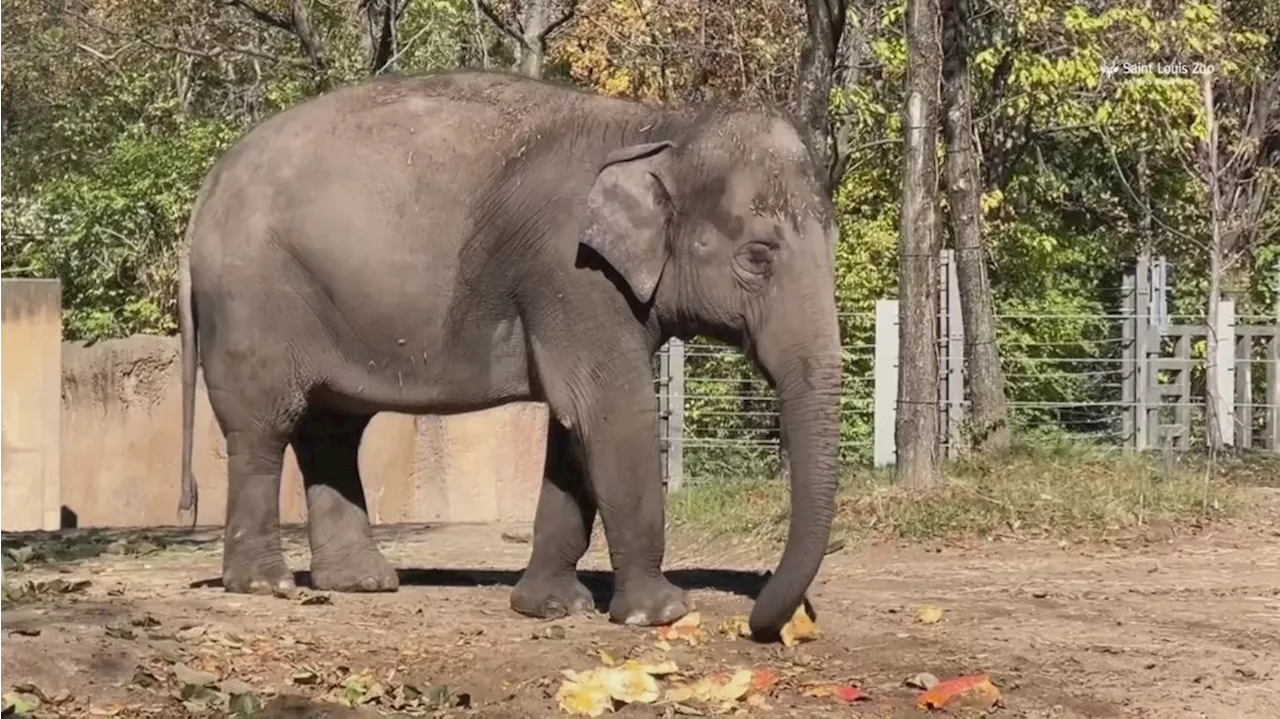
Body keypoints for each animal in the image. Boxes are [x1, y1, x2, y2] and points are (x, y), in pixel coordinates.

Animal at [175, 68, 844, 637]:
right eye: (757, 257)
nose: (764, 622)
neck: (663, 126)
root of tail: (206, 192)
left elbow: (573, 431)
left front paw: (549, 607)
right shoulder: (568, 271)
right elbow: (610, 411)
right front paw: (660, 616)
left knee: (333, 430)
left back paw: (360, 583)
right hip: (253, 300)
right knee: (266, 426)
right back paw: (267, 585)